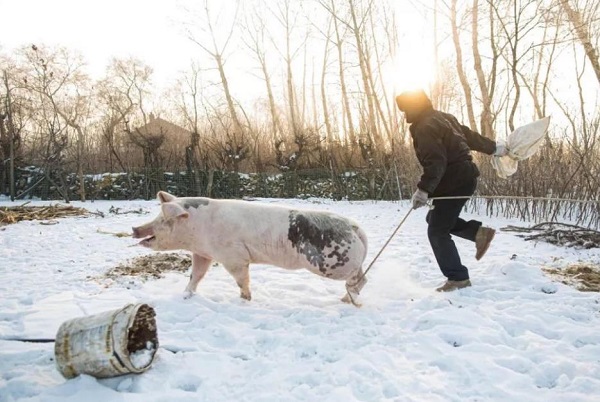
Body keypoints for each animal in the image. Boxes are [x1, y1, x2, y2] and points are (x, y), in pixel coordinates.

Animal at [132, 192, 368, 304]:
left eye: (163, 219)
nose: (135, 229)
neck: (197, 228)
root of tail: (355, 227)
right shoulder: (202, 253)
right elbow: (196, 276)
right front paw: (185, 296)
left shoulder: (233, 257)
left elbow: (241, 280)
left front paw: (244, 300)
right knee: (361, 278)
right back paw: (346, 299)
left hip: (333, 262)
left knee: (358, 279)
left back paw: (346, 300)